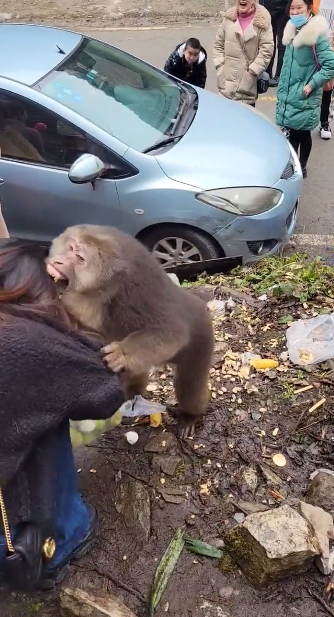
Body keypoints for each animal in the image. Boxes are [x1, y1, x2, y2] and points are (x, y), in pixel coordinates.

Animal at [46, 224, 214, 436]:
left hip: (201, 337)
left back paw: (190, 415)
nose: (58, 261)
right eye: (70, 247)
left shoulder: (132, 292)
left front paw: (122, 353)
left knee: (190, 384)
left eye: (80, 258)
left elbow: (171, 330)